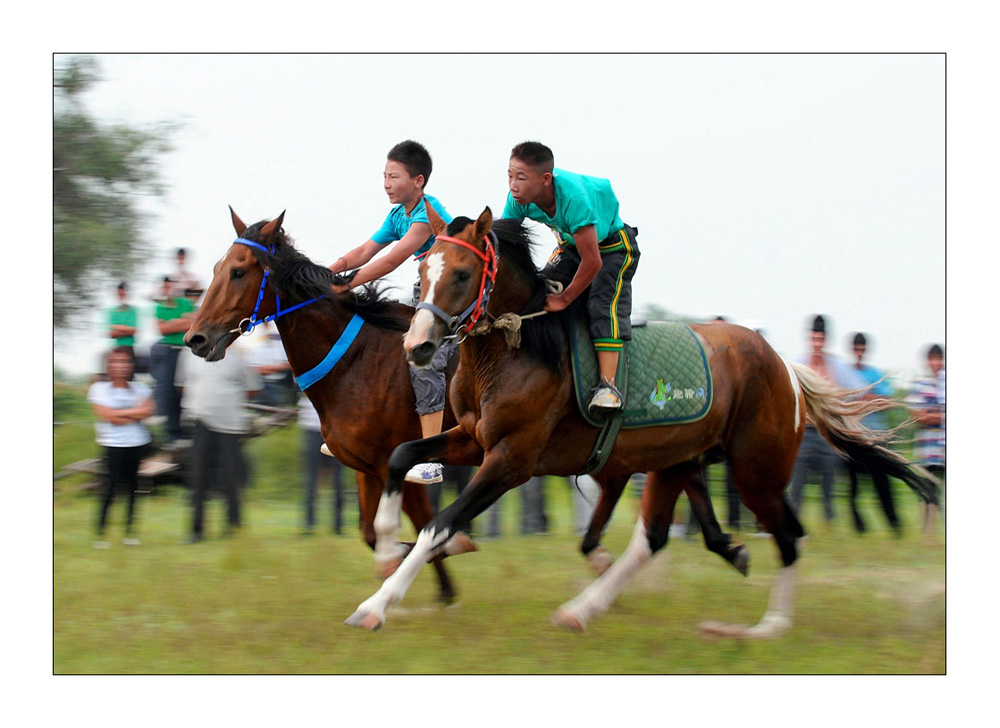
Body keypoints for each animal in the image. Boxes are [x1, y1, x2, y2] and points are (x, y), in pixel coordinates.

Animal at [344, 206, 936, 636]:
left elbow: (441, 525)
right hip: (677, 459)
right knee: (651, 538)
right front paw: (387, 545)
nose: (417, 347)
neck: (520, 347)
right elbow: (401, 458)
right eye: (421, 271)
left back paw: (766, 627)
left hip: (755, 469)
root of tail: (785, 366)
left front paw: (377, 603)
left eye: (463, 274)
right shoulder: (472, 438)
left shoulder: (512, 459)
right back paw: (581, 609)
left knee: (789, 535)